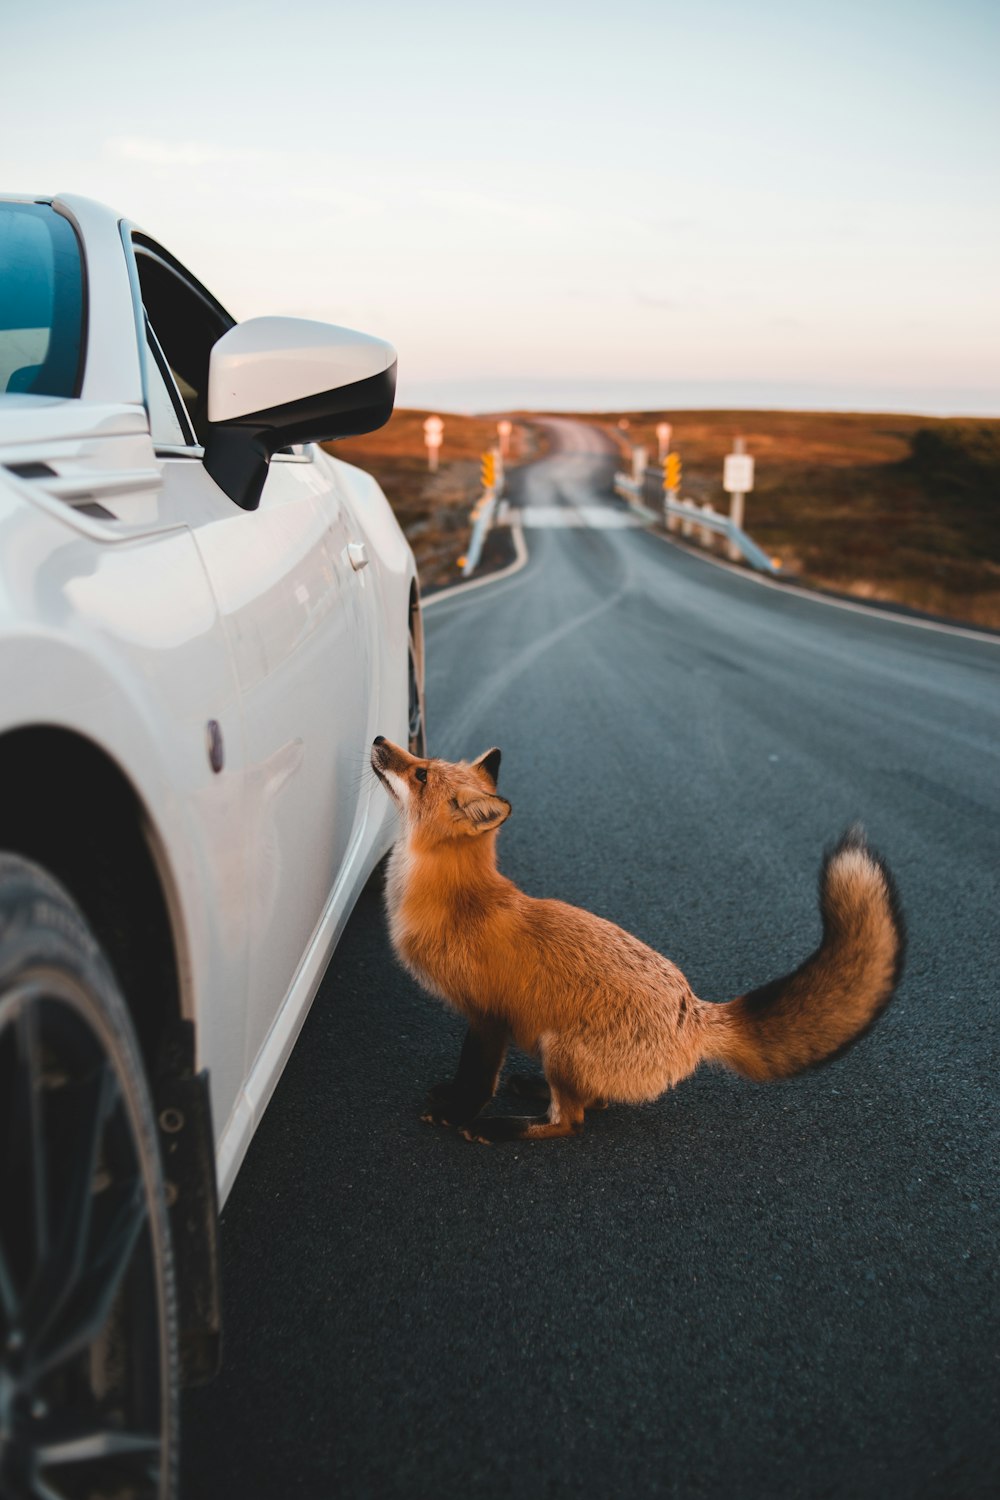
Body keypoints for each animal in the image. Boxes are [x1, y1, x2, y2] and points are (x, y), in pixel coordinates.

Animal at [371, 732, 905, 1140]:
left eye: (421, 773)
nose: (378, 739)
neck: (455, 899)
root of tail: (695, 1015)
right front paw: (453, 1097)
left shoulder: (488, 1016)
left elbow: (477, 1077)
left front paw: (457, 1113)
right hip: (555, 1051)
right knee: (595, 1102)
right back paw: (530, 1088)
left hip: (559, 1048)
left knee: (572, 1121)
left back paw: (503, 1127)